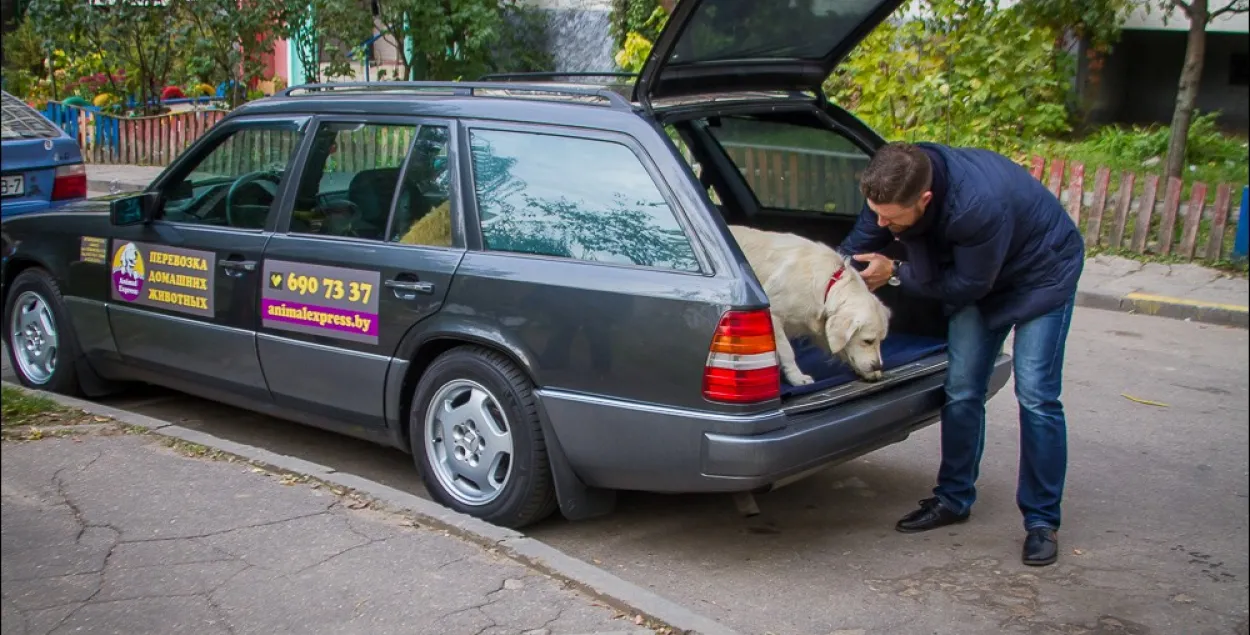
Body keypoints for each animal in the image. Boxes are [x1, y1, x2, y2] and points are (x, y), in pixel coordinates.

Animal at [730, 226, 895, 385]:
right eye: (868, 341)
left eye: (881, 341)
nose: (878, 365)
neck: (829, 282)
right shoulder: (774, 316)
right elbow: (787, 351)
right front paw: (797, 378)